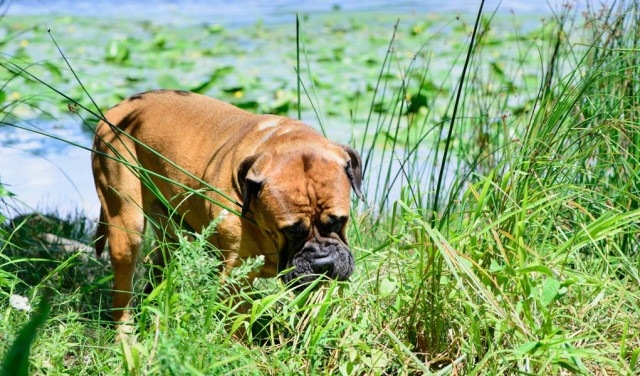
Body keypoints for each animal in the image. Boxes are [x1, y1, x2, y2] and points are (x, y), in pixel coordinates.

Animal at [90, 89, 362, 328]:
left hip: (170, 234)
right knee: (122, 292)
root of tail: (119, 108)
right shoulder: (234, 278)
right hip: (126, 226)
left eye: (338, 221)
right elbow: (237, 325)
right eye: (291, 230)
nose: (322, 262)